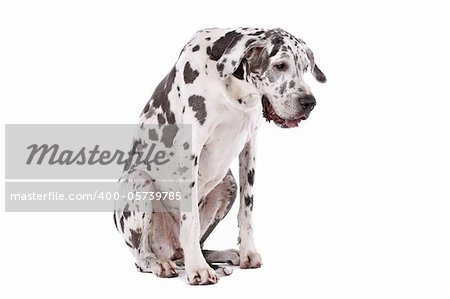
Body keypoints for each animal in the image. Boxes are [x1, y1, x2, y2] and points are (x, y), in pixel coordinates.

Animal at [111, 27, 326, 286]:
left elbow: (247, 209)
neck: (234, 90)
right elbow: (190, 222)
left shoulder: (250, 146)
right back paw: (160, 262)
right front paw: (198, 269)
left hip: (228, 183)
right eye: (280, 65)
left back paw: (223, 255)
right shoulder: (190, 149)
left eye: (305, 67)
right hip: (138, 183)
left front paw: (247, 252)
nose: (309, 103)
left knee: (197, 245)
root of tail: (170, 250)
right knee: (142, 255)